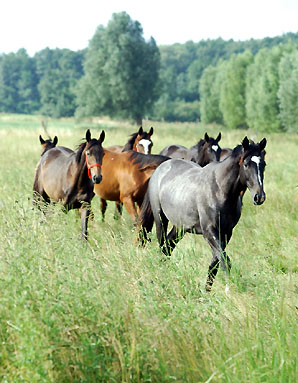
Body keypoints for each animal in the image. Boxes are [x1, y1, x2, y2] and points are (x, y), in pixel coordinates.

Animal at [139, 136, 266, 292]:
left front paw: (207, 292)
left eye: (263, 164)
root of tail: (160, 169)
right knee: (163, 245)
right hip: (160, 219)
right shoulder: (209, 231)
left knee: (167, 247)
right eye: (247, 164)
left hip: (180, 227)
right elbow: (224, 261)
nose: (259, 197)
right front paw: (228, 290)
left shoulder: (226, 233)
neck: (220, 190)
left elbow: (215, 263)